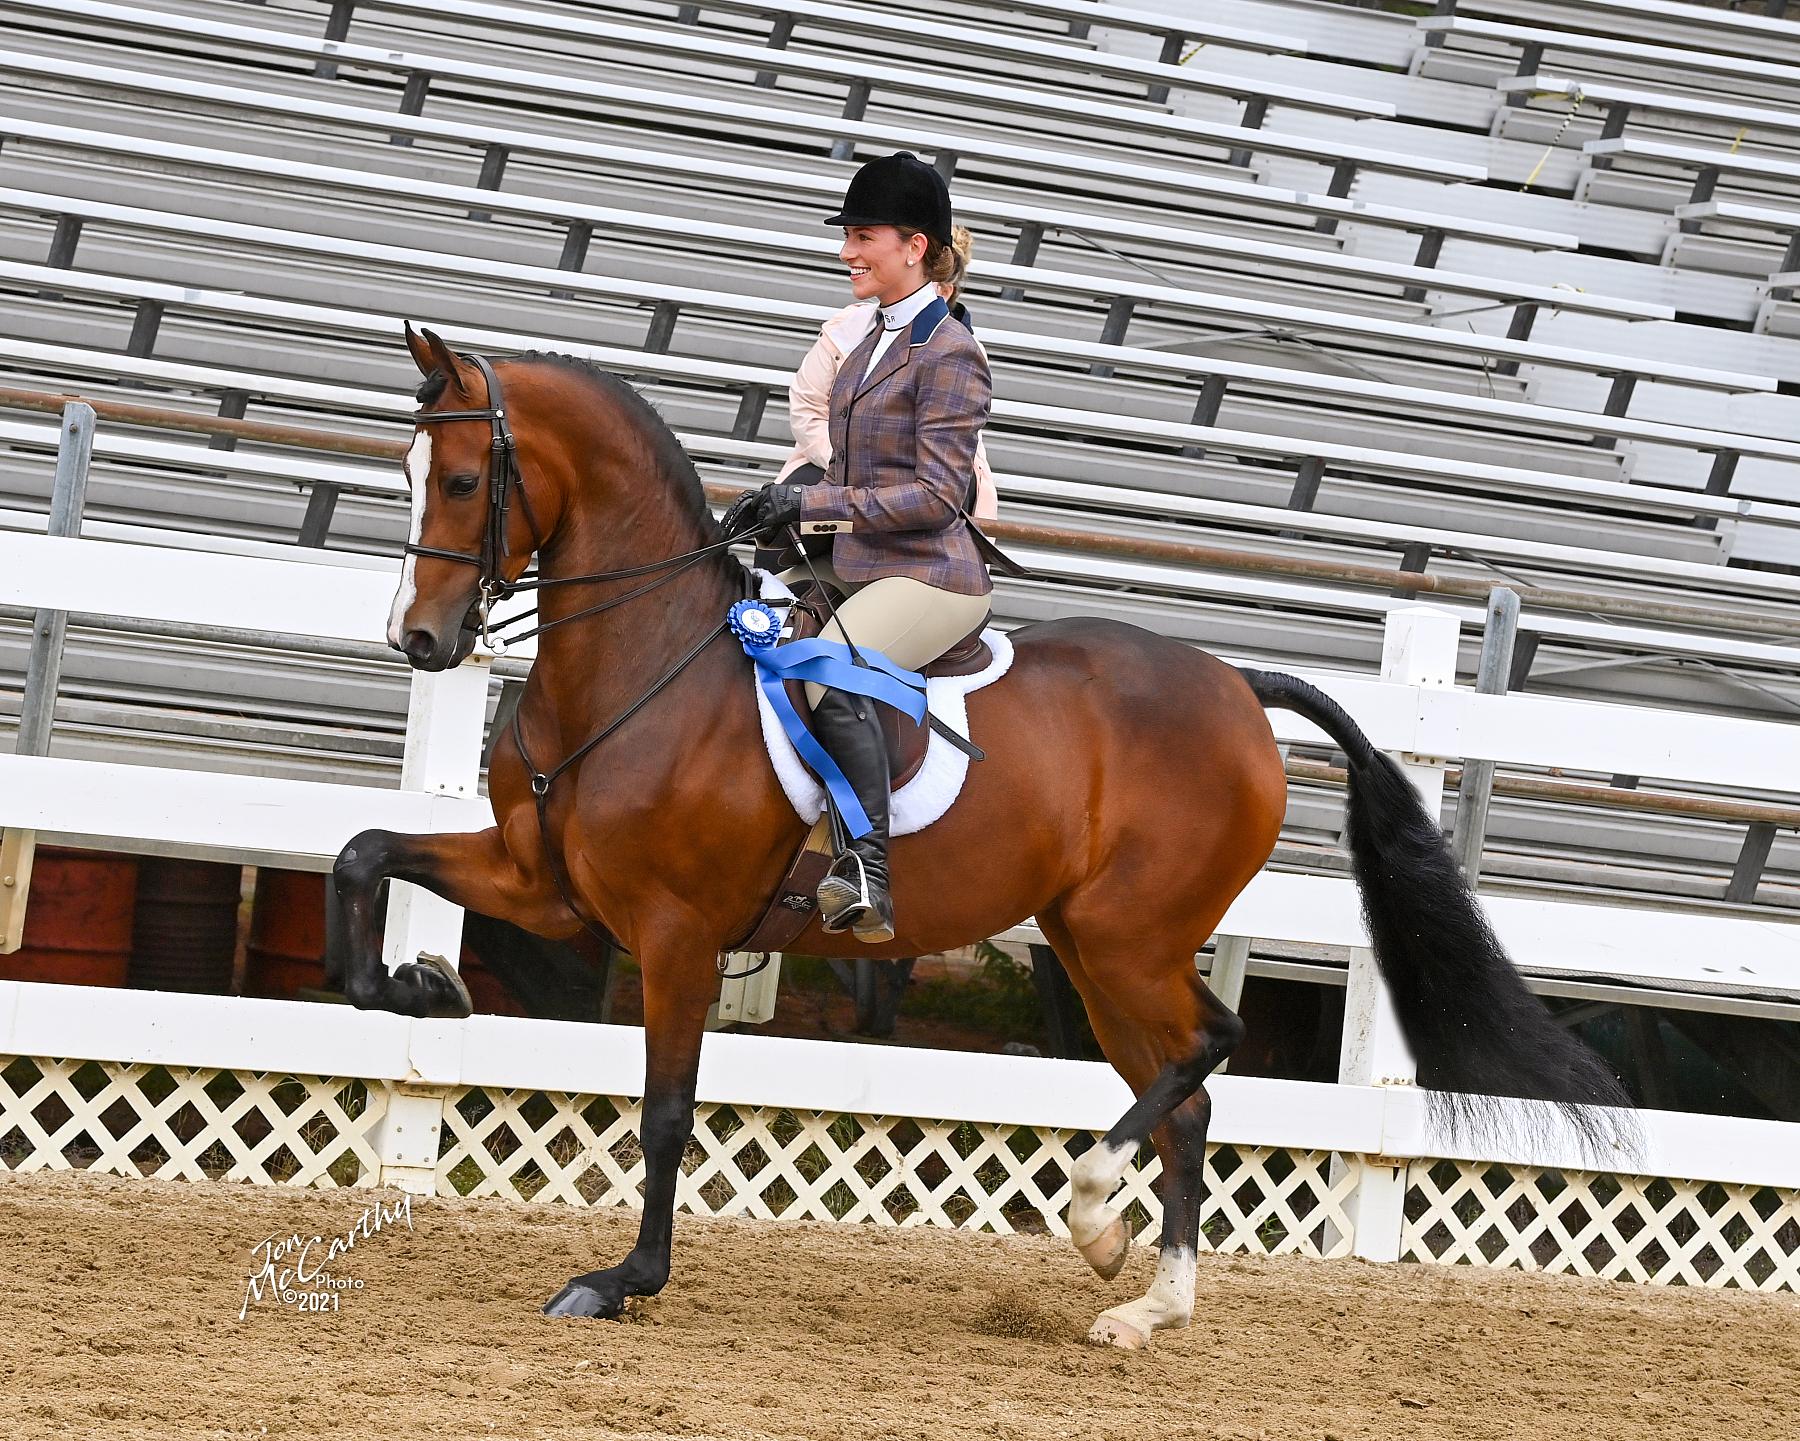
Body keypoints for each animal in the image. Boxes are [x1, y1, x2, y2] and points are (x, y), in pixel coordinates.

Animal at [327, 325, 1634, 1352]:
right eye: (410, 470)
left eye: (459, 480)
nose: (423, 643)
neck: (639, 663)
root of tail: (1233, 682)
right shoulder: (547, 883)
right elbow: (364, 855)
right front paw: (424, 985)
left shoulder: (676, 933)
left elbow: (663, 1110)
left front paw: (623, 1281)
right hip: (1094, 948)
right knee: (1188, 1094)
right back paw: (1142, 1302)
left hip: (1126, 935)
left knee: (1212, 1045)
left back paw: (1097, 1210)